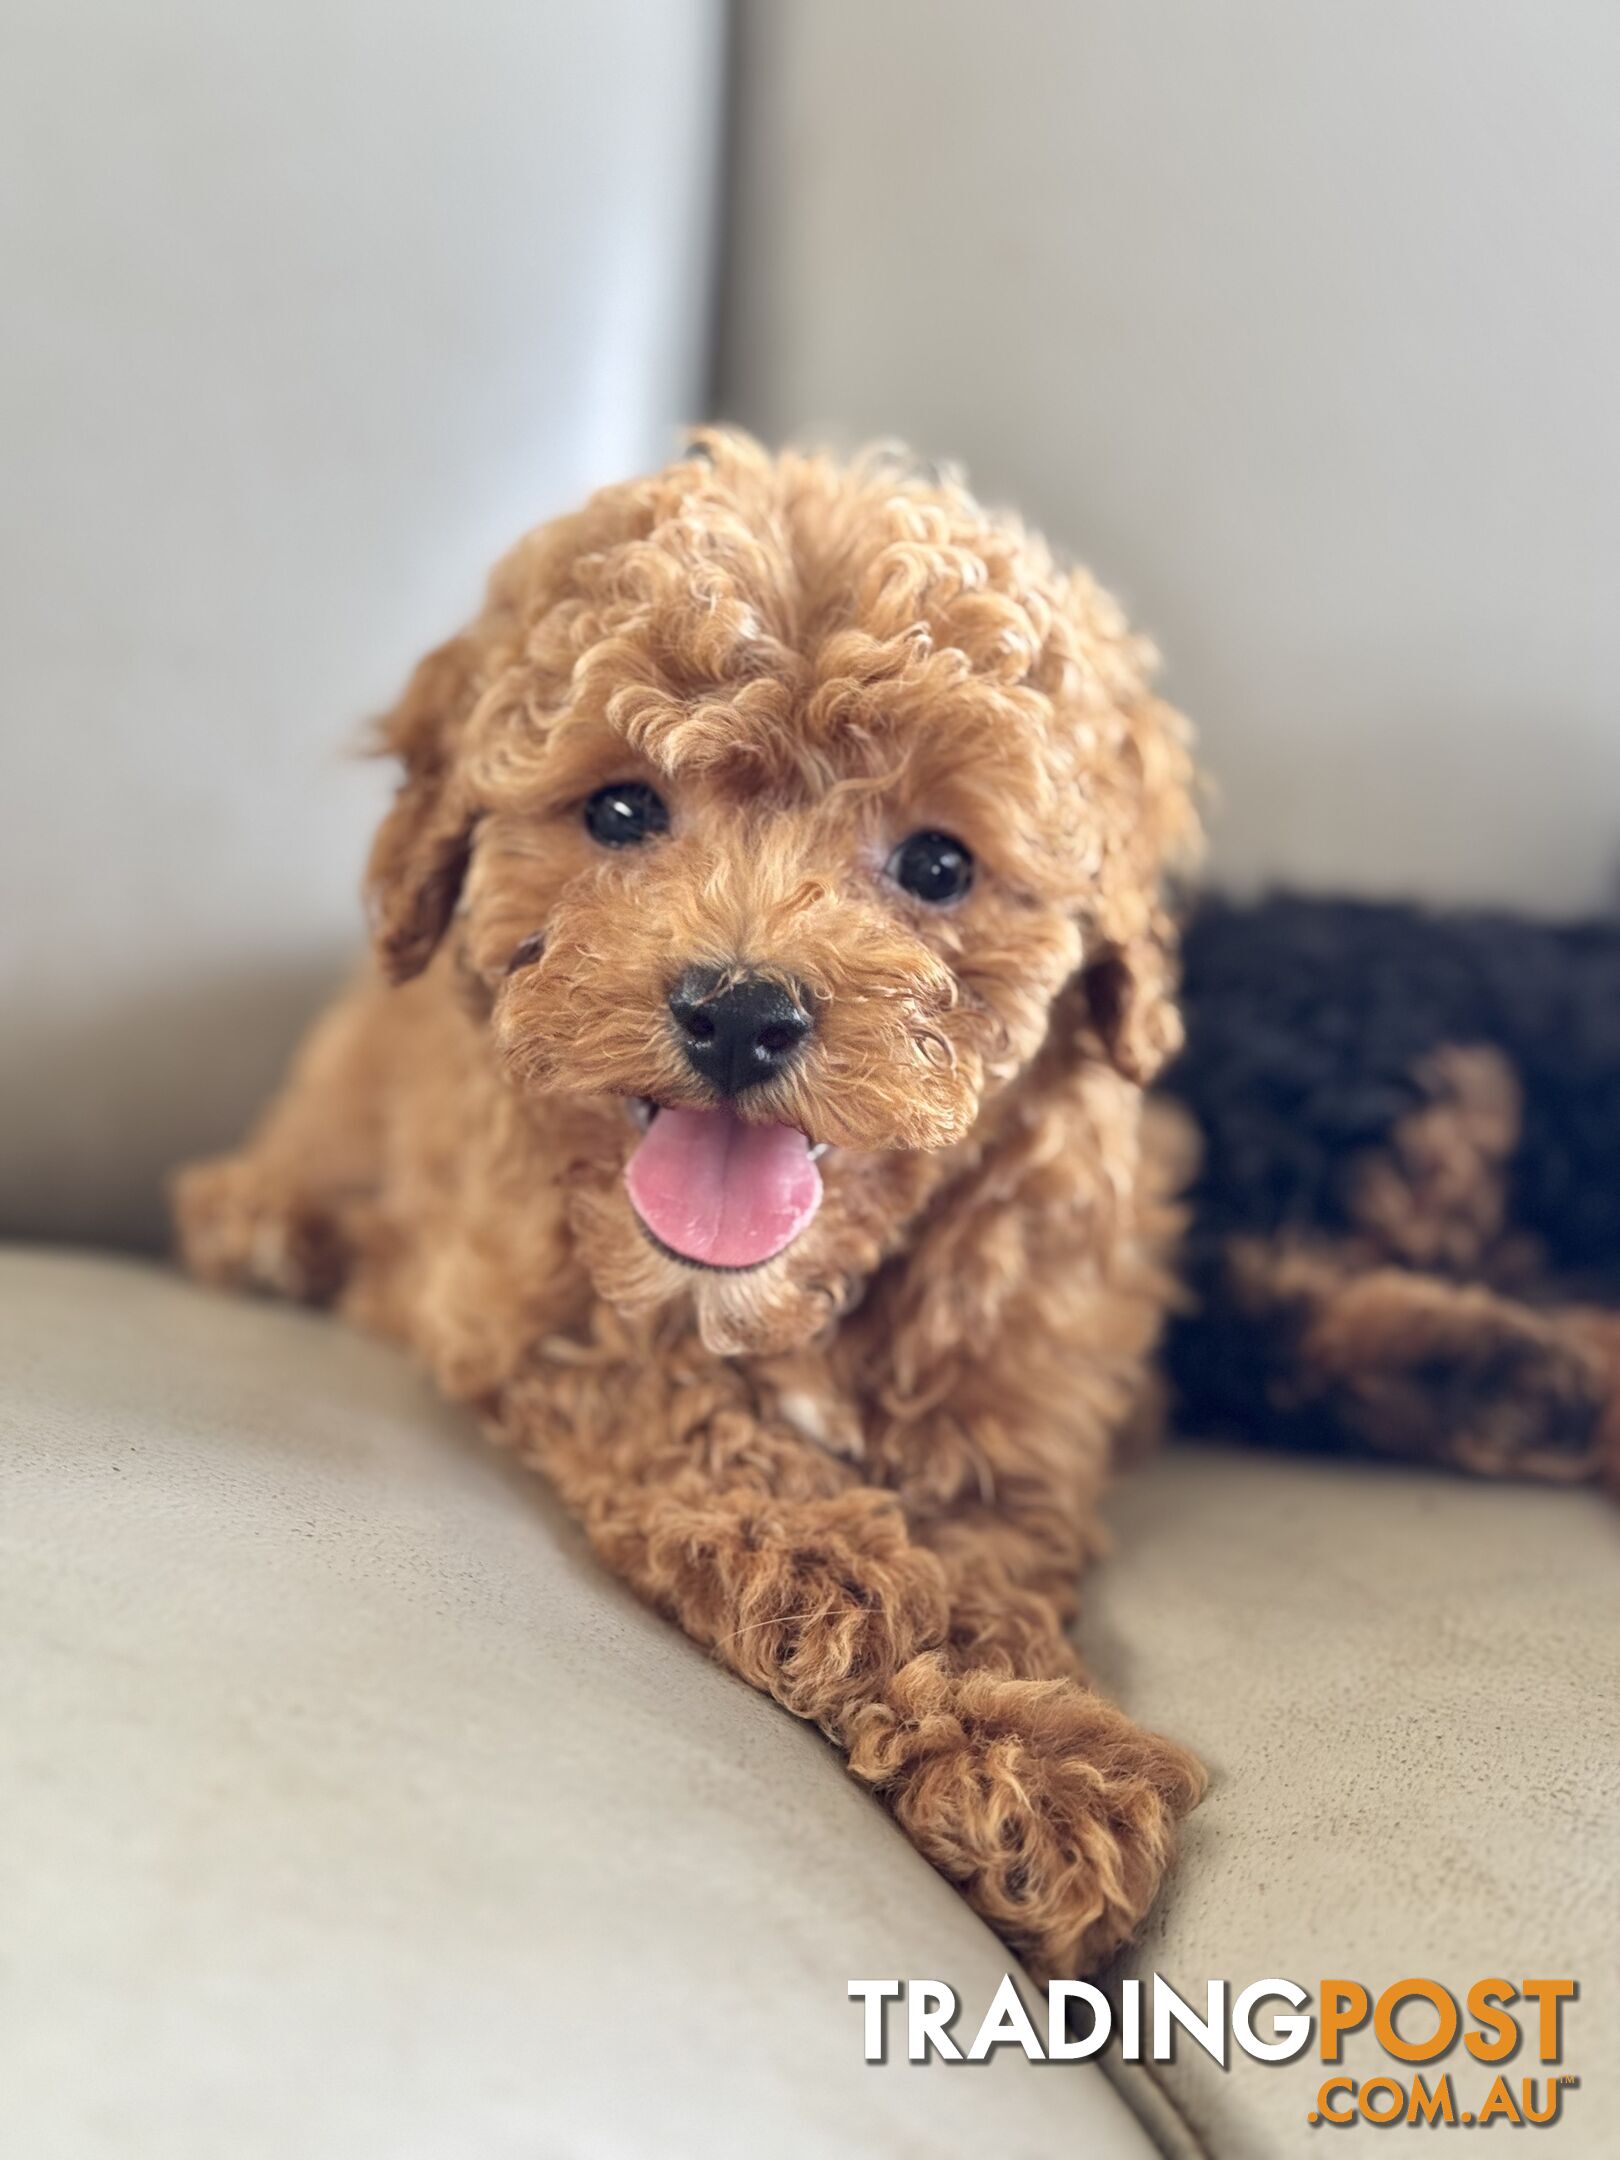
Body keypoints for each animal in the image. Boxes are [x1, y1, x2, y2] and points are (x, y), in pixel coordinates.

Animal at [180, 429, 1218, 1978]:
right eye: (621, 809)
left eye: (939, 863)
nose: (738, 1011)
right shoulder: (551, 1328)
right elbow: (760, 1477)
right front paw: (975, 1700)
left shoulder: (1019, 1406)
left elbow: (986, 1556)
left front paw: (1026, 1748)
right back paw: (266, 1229)